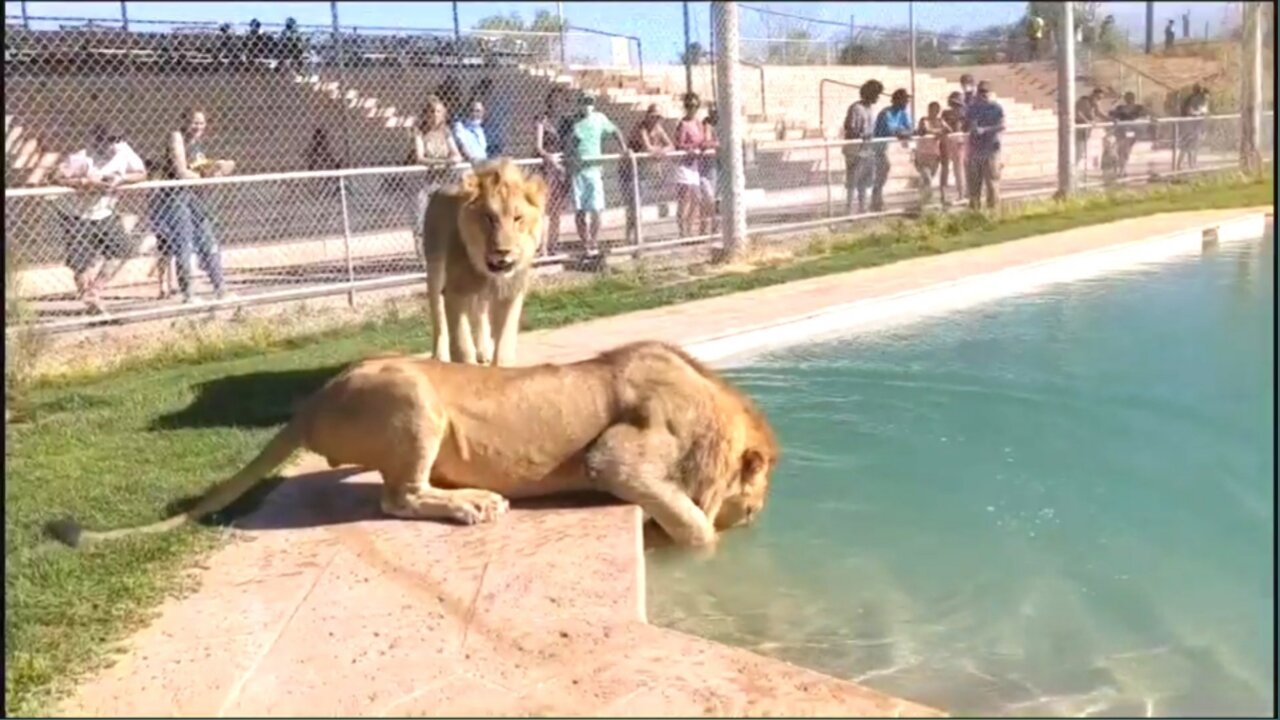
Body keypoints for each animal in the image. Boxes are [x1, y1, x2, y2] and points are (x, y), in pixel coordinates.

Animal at [49, 338, 778, 545]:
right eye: (758, 497)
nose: (757, 517)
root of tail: (316, 397)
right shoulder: (618, 455)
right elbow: (696, 527)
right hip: (414, 399)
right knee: (397, 499)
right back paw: (472, 505)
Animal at [422, 156, 547, 363]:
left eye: (517, 218)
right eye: (489, 218)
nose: (503, 251)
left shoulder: (511, 293)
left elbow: (504, 347)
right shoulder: (455, 293)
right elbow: (462, 346)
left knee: (480, 310)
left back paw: (485, 350)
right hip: (434, 269)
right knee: (437, 314)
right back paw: (440, 356)